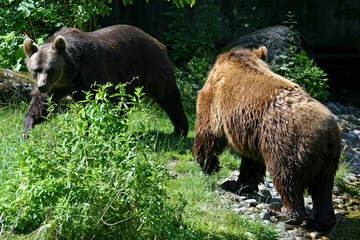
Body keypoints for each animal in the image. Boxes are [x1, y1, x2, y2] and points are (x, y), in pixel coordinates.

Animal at [22, 25, 188, 137]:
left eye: (51, 69)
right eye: (36, 69)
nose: (42, 85)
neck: (71, 72)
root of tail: (156, 41)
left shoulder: (90, 72)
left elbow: (95, 102)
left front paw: (90, 129)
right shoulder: (58, 86)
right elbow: (43, 103)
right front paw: (28, 126)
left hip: (149, 65)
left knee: (167, 94)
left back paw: (179, 129)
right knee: (123, 101)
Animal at [193, 46, 342, 232]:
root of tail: (327, 133)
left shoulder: (215, 97)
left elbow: (209, 130)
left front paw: (209, 164)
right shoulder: (253, 135)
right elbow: (251, 163)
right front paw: (236, 184)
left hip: (286, 144)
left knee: (287, 178)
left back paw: (280, 211)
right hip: (329, 160)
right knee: (323, 188)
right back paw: (321, 220)